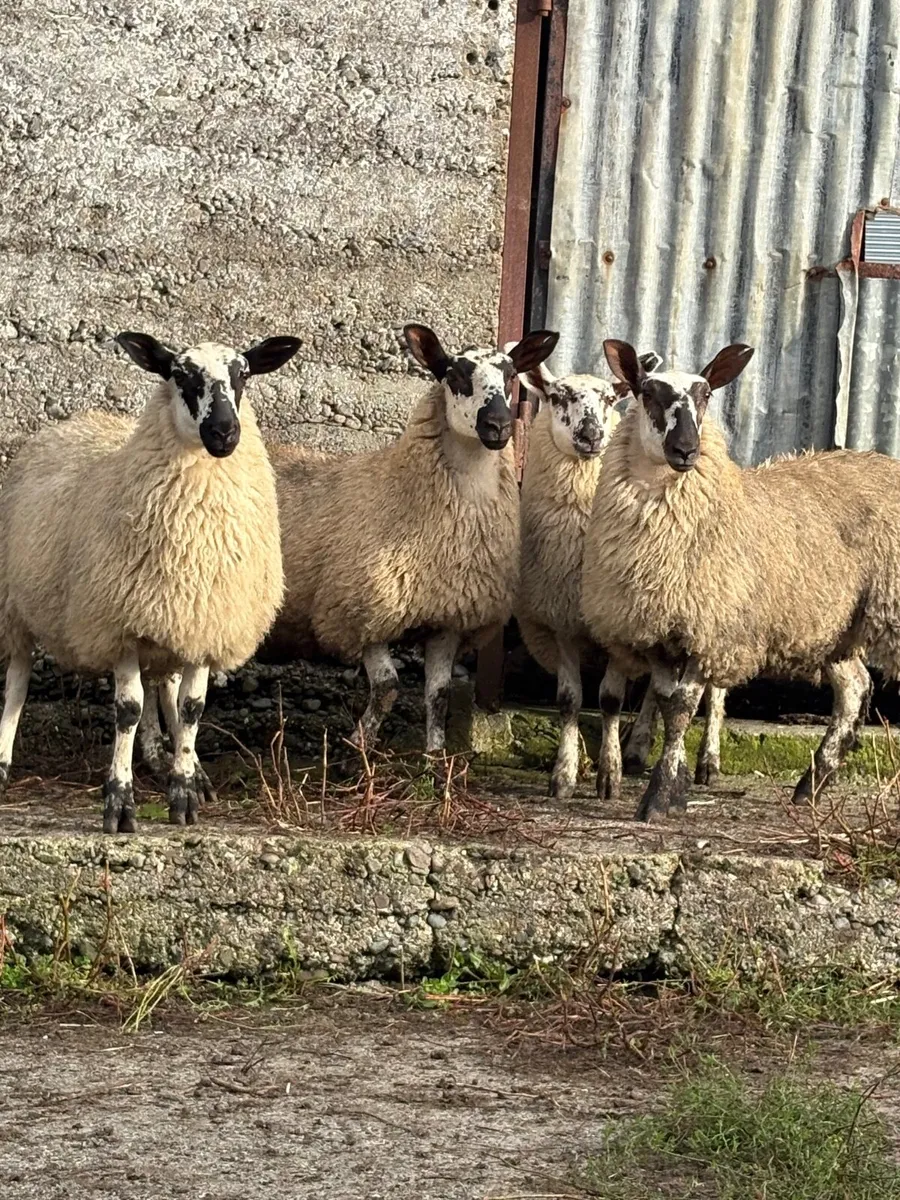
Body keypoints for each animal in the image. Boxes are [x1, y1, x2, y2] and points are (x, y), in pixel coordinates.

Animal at [0, 331, 300, 833]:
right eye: (180, 374)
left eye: (243, 374)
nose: (225, 433)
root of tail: (77, 420)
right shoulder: (120, 623)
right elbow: (128, 709)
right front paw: (119, 802)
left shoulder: (201, 622)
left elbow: (190, 707)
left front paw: (184, 792)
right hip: (15, 605)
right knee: (17, 681)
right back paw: (2, 764)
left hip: (166, 621)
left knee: (166, 690)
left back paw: (182, 764)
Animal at [258, 323, 559, 761]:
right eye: (453, 375)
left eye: (510, 376)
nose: (499, 426)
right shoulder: (361, 613)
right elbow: (388, 687)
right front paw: (358, 748)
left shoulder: (449, 617)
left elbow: (438, 693)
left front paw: (434, 758)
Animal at [514, 352, 726, 801]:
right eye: (557, 396)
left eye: (610, 399)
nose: (592, 434)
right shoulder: (565, 619)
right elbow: (569, 700)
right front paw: (564, 775)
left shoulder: (615, 626)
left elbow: (610, 699)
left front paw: (607, 775)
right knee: (658, 692)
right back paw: (640, 749)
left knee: (712, 693)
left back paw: (706, 761)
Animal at [580, 336, 900, 822]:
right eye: (648, 392)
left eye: (706, 395)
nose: (686, 450)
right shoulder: (658, 628)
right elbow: (664, 700)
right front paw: (674, 788)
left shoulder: (709, 628)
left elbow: (681, 708)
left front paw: (658, 798)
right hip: (834, 625)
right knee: (854, 690)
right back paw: (810, 786)